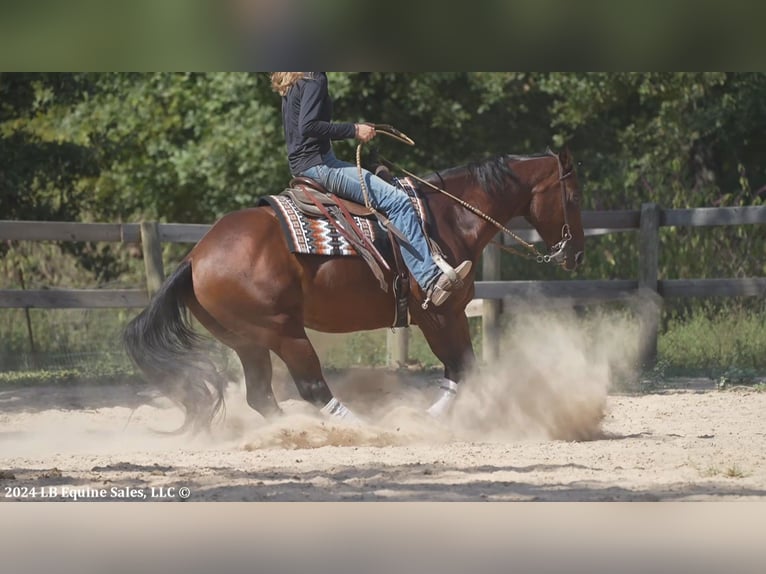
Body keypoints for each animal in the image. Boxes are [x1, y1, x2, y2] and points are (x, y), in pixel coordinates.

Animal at [123, 148, 584, 432]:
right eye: (575, 196)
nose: (576, 254)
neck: (447, 218)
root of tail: (195, 257)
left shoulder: (445, 316)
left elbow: (462, 370)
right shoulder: (439, 313)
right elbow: (463, 369)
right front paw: (428, 420)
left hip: (246, 341)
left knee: (261, 396)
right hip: (284, 333)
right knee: (311, 387)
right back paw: (359, 428)